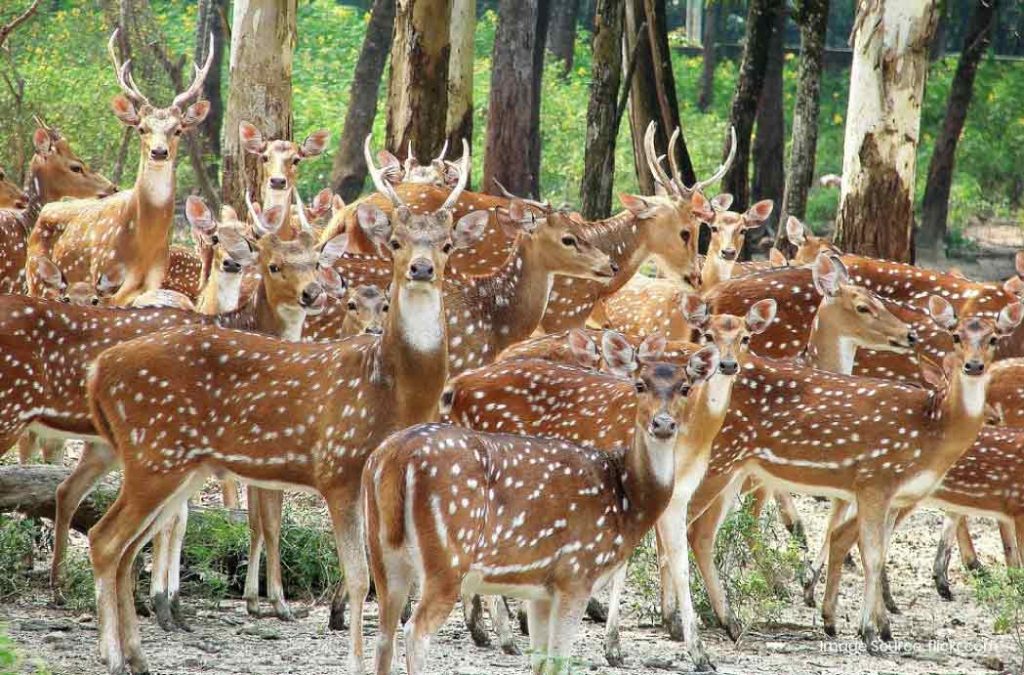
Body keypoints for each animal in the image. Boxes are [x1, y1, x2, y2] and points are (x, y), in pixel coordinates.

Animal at [26, 29, 212, 306]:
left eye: (178, 129)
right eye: (142, 128)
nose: (159, 152)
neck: (143, 245)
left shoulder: (151, 283)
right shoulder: (102, 276)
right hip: (34, 279)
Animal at [365, 346, 720, 675]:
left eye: (685, 387)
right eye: (639, 384)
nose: (664, 423)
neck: (626, 499)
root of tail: (394, 458)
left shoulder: (541, 590)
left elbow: (541, 663)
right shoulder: (576, 572)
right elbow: (559, 662)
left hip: (384, 554)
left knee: (383, 637)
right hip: (447, 557)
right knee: (415, 632)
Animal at [684, 295, 1023, 651]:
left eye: (993, 339)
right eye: (956, 336)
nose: (974, 366)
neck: (933, 429)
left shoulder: (896, 494)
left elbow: (876, 552)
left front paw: (873, 626)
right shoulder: (876, 478)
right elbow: (871, 555)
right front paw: (869, 633)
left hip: (736, 468)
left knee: (702, 533)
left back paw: (729, 622)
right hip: (716, 459)